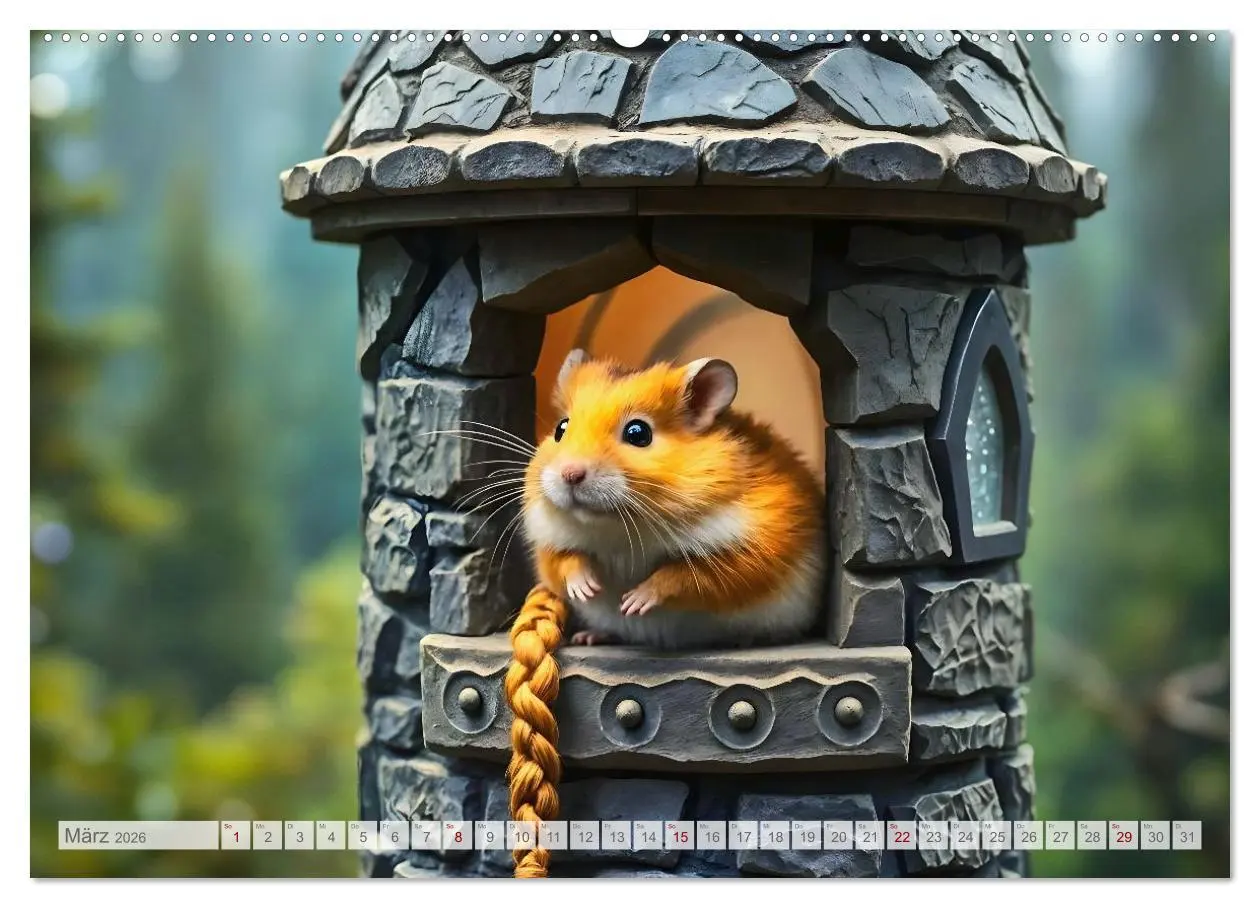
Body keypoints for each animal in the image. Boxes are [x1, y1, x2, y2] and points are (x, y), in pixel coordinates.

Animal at [522, 348, 826, 650]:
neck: (619, 526)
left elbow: (683, 575)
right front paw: (587, 589)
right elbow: (565, 561)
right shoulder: (548, 542)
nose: (570, 474)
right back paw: (589, 636)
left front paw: (633, 602)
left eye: (638, 433)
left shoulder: (750, 552)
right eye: (561, 428)